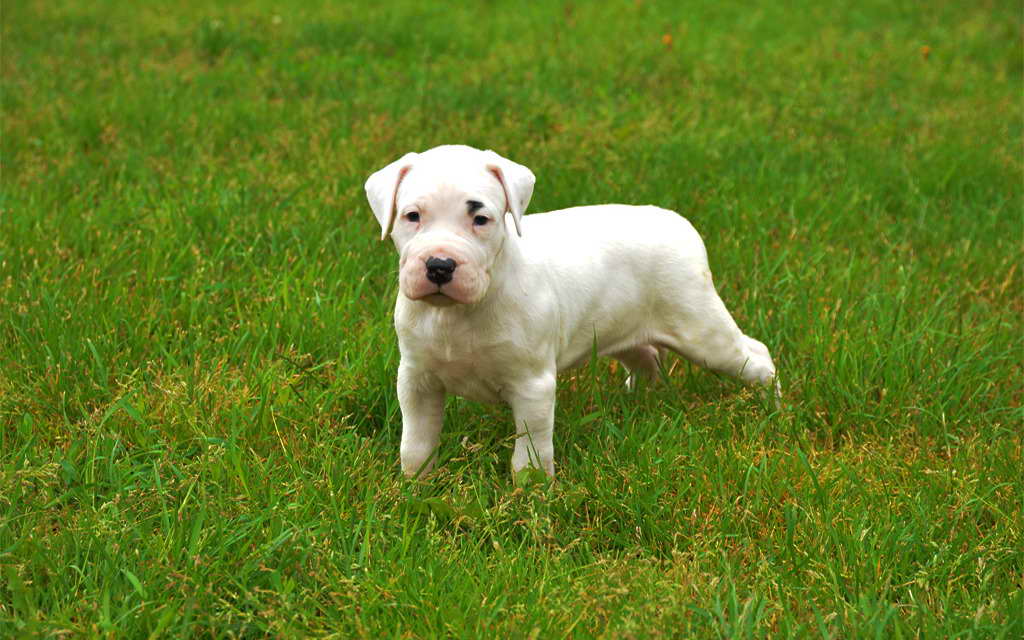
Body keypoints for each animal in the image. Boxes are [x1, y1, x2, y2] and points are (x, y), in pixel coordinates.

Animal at [368, 143, 774, 475]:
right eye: (412, 216)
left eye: (480, 219)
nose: (439, 266)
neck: (456, 314)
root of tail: (677, 221)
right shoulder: (417, 381)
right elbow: (416, 443)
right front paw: (415, 486)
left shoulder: (533, 386)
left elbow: (530, 450)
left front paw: (530, 497)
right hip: (623, 327)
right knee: (645, 356)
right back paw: (637, 403)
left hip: (700, 327)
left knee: (755, 354)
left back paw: (772, 405)